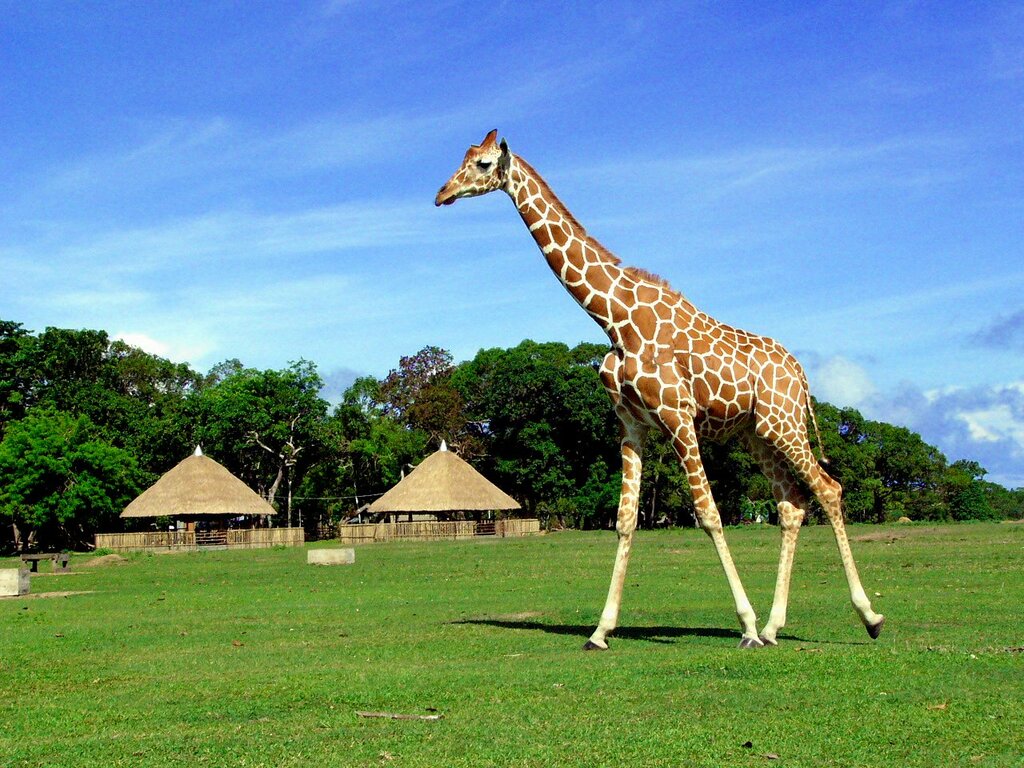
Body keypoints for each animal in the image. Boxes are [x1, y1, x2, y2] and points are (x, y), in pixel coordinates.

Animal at [435, 130, 885, 649]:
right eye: (463, 158)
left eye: (484, 164)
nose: (441, 194)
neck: (613, 319)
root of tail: (802, 375)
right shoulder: (631, 426)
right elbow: (625, 520)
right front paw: (600, 631)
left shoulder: (677, 416)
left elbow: (708, 514)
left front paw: (746, 626)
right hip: (757, 434)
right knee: (791, 504)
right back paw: (776, 626)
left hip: (784, 423)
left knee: (828, 490)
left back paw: (867, 617)